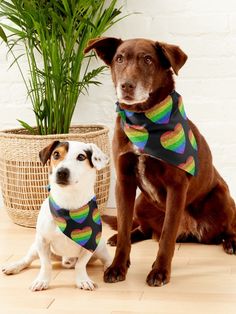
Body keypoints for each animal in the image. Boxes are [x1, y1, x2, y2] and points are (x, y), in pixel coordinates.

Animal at [1, 141, 111, 290]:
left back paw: (111, 268)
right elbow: (46, 264)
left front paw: (82, 280)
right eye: (56, 154)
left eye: (81, 157)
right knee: (27, 259)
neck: (68, 203)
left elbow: (80, 265)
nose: (62, 172)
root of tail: (67, 260)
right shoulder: (42, 241)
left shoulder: (91, 243)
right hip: (35, 247)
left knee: (107, 259)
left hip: (100, 248)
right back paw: (14, 266)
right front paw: (42, 280)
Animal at [85, 38, 236, 286]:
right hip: (141, 202)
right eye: (119, 59)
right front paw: (118, 266)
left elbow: (167, 236)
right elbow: (125, 225)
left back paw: (231, 241)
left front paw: (159, 271)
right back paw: (121, 236)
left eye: (148, 60)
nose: (126, 86)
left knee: (229, 226)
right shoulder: (124, 182)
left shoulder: (177, 187)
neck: (143, 120)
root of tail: (193, 233)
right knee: (143, 228)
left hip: (221, 197)